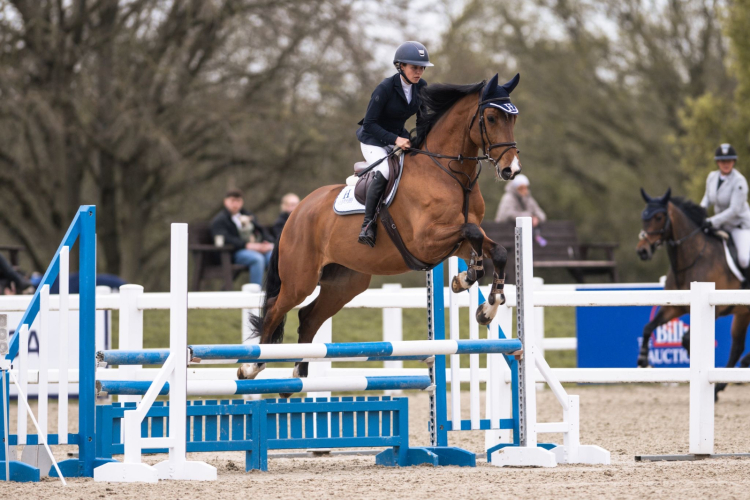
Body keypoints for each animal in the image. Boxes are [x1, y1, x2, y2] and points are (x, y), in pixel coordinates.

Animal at [239, 74, 523, 396]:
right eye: (491, 118)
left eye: (513, 118)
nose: (511, 170)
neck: (450, 172)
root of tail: (297, 211)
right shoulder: (426, 241)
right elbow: (472, 232)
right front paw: (469, 280)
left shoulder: (452, 242)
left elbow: (494, 249)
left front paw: (481, 300)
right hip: (300, 279)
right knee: (274, 310)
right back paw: (251, 367)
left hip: (345, 283)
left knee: (308, 317)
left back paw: (296, 377)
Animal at [636, 188, 750, 399]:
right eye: (643, 217)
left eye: (659, 217)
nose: (642, 251)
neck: (692, 258)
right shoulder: (674, 308)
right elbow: (648, 327)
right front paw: (643, 360)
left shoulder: (715, 309)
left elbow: (687, 339)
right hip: (742, 314)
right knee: (737, 348)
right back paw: (720, 387)